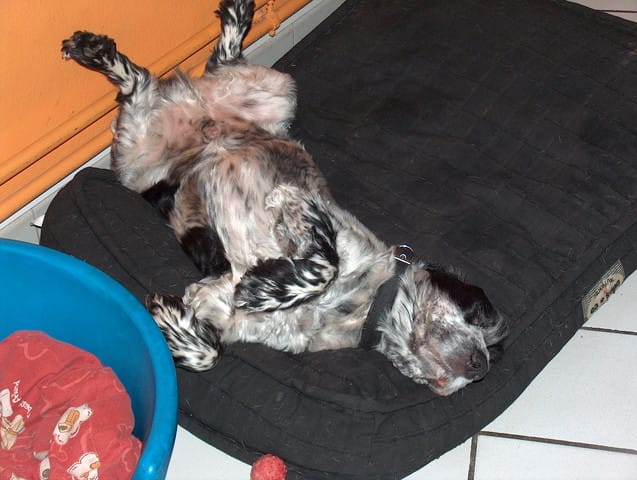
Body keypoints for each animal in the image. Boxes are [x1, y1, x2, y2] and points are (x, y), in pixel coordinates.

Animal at [61, 0, 508, 396]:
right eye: (476, 312)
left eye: (493, 347)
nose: (480, 366)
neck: (357, 307)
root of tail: (205, 115)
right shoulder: (309, 214)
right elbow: (322, 263)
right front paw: (263, 288)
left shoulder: (227, 316)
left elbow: (210, 352)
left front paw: (173, 321)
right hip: (216, 115)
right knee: (157, 76)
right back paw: (101, 48)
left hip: (244, 108)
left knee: (176, 73)